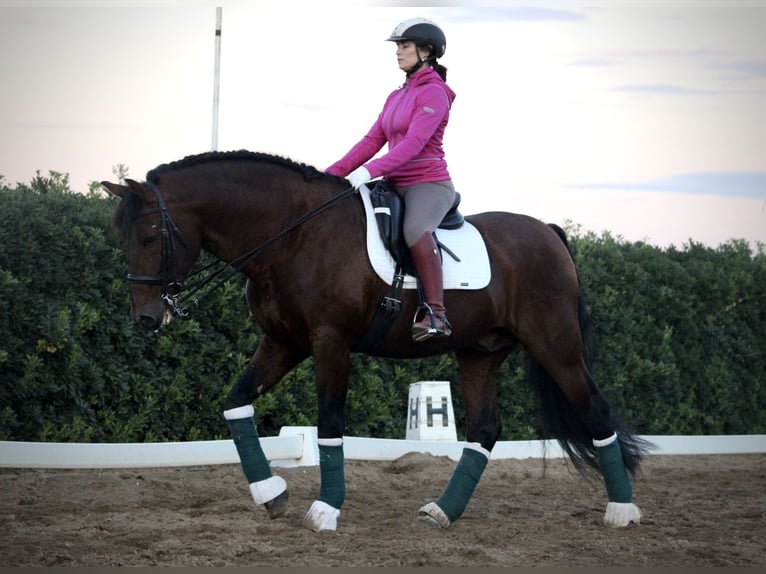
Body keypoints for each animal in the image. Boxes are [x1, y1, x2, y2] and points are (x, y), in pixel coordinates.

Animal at [103, 151, 656, 532]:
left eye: (149, 236)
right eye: (120, 237)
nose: (147, 317)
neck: (293, 237)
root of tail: (547, 231)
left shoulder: (330, 342)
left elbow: (330, 424)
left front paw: (325, 510)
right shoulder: (283, 342)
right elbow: (236, 403)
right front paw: (270, 493)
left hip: (555, 345)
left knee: (595, 411)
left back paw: (622, 510)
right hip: (480, 352)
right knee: (485, 428)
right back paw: (442, 512)